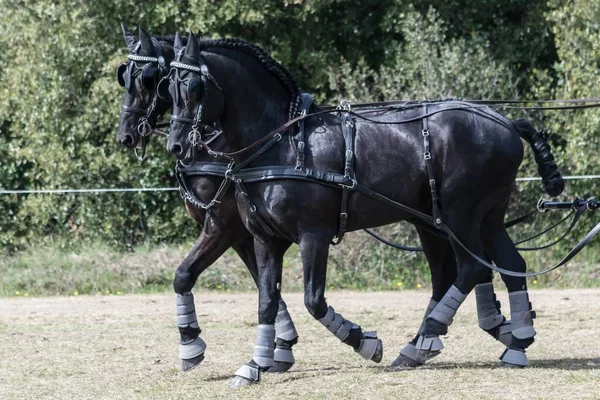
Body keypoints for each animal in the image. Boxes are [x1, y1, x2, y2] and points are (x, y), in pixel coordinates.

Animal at [164, 32, 564, 386]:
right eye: (169, 89)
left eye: (194, 88)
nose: (177, 146)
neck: (281, 144)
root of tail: (507, 121)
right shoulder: (265, 240)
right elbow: (266, 300)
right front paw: (256, 364)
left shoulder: (313, 235)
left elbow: (313, 301)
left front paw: (363, 342)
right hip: (480, 217)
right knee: (509, 265)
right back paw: (514, 344)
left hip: (458, 216)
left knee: (469, 269)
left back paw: (425, 338)